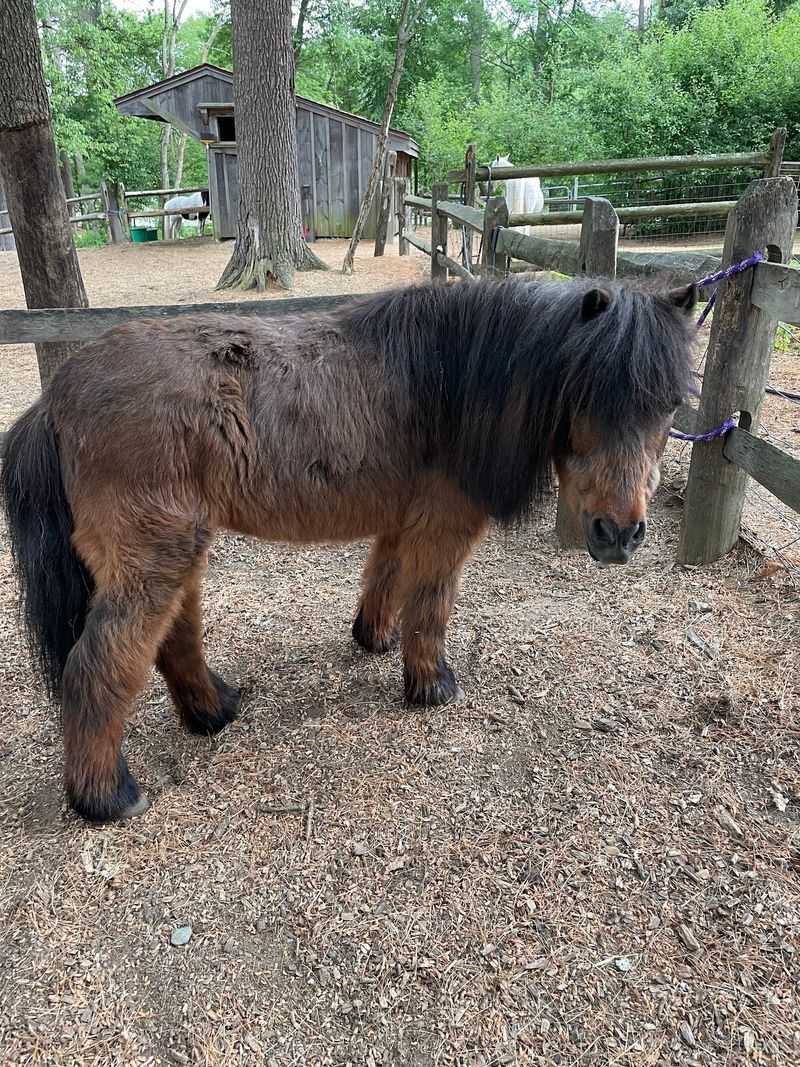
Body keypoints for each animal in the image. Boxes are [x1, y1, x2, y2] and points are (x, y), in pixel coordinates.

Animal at [1, 276, 697, 824]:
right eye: (586, 395)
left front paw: (375, 639)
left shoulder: (401, 518)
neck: (451, 379)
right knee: (99, 665)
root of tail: (56, 397)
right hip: (152, 558)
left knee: (174, 638)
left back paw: (213, 712)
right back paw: (105, 798)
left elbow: (384, 578)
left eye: (668, 406)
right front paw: (431, 684)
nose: (619, 534)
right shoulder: (443, 528)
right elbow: (431, 606)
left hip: (175, 551)